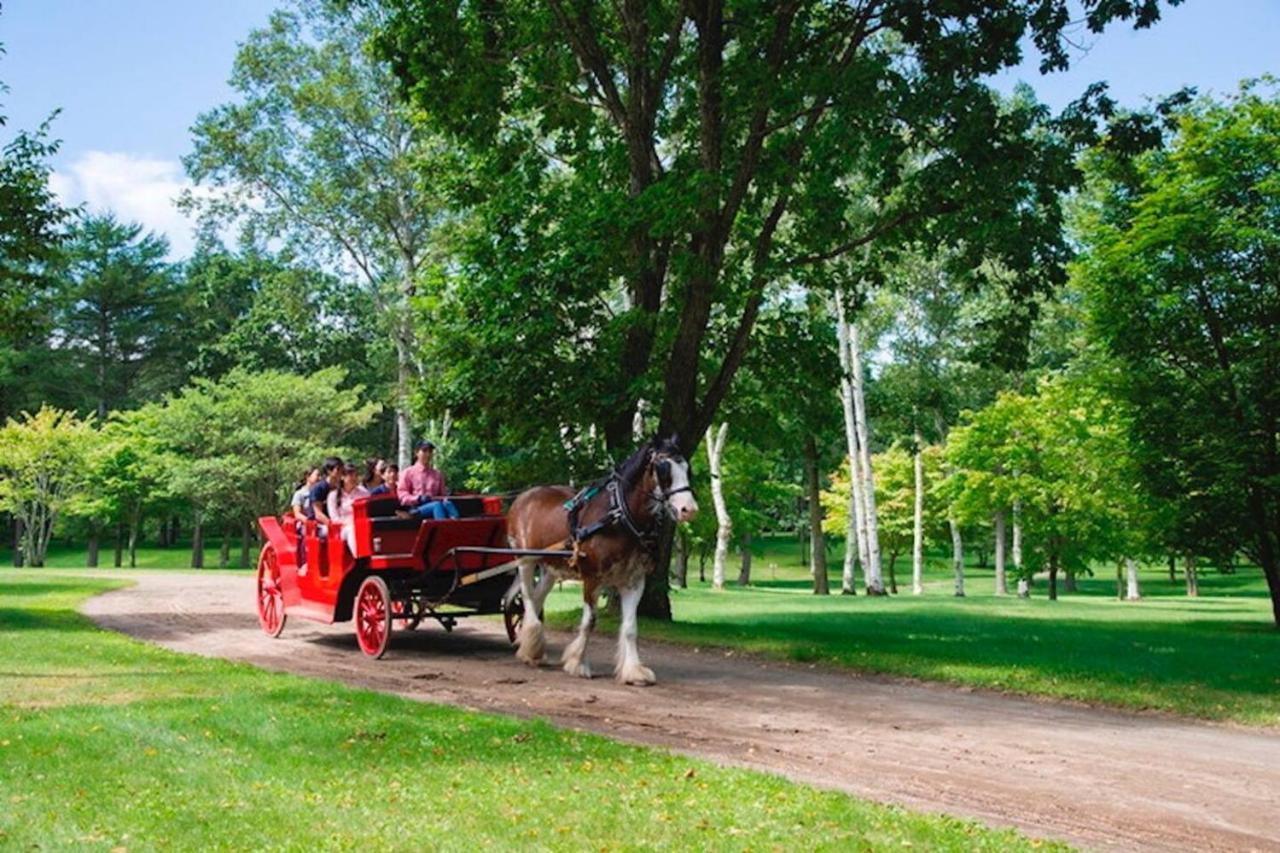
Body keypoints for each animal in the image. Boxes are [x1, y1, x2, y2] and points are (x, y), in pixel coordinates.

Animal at [501, 438, 701, 686]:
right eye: (663, 469)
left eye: (687, 468)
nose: (689, 510)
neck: (619, 516)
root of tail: (524, 497)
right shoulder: (592, 578)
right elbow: (590, 621)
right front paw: (578, 664)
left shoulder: (634, 581)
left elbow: (630, 627)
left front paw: (633, 671)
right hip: (525, 560)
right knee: (528, 599)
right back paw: (531, 646)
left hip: (551, 569)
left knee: (536, 600)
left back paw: (531, 649)